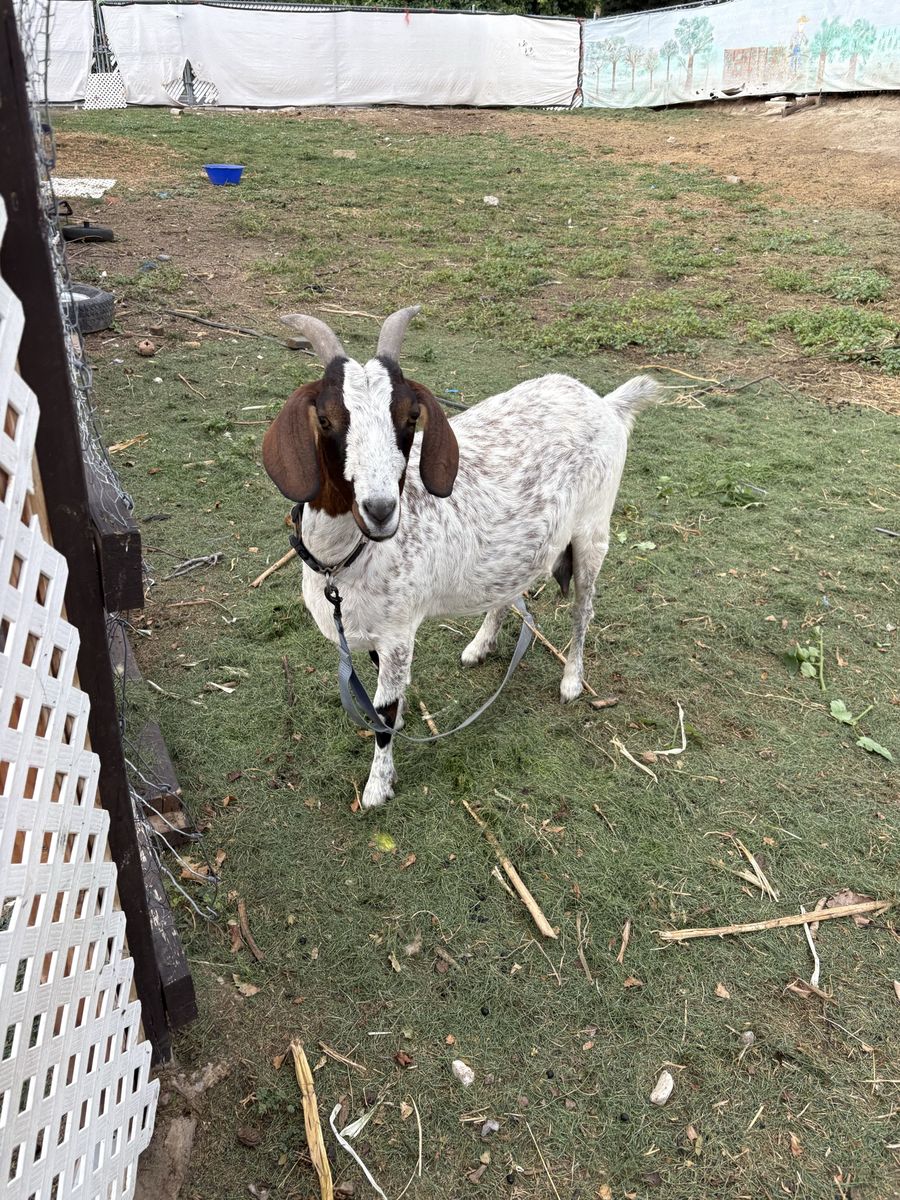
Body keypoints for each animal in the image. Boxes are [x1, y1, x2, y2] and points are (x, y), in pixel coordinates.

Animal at [262, 306, 658, 809]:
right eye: (327, 420)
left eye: (411, 417)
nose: (380, 509)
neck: (343, 559)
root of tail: (606, 404)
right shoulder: (374, 633)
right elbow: (380, 697)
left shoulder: (398, 633)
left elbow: (384, 714)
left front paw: (378, 785)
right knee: (511, 588)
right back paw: (480, 644)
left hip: (593, 532)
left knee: (582, 609)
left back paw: (572, 678)